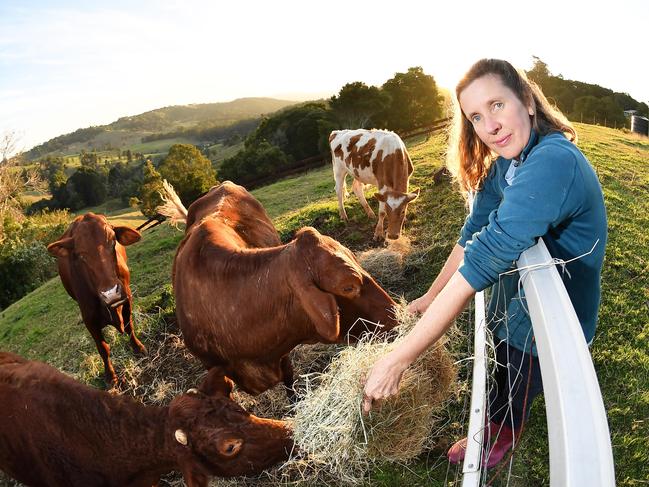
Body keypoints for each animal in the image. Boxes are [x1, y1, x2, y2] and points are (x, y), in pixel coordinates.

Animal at [46, 213, 146, 386]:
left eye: (113, 241)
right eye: (80, 255)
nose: (111, 293)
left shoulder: (127, 299)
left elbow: (129, 327)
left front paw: (138, 348)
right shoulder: (89, 318)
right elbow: (103, 348)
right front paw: (110, 375)